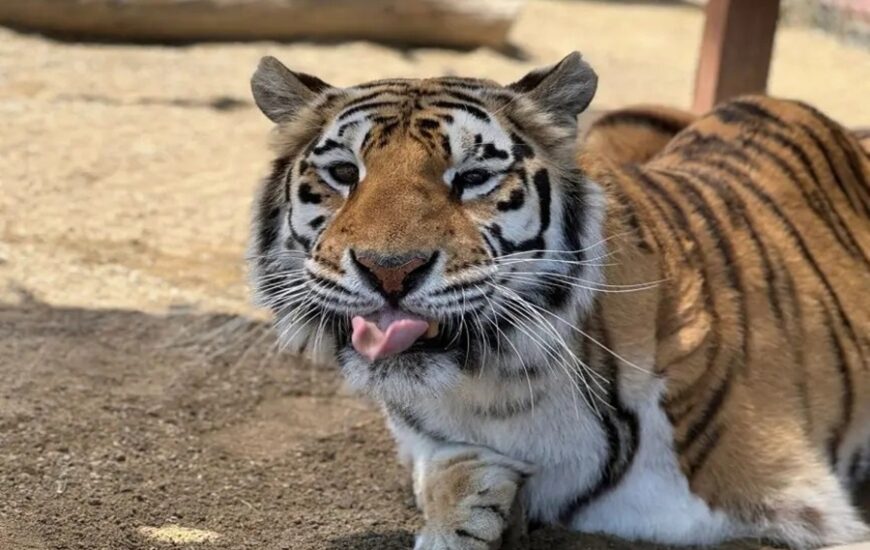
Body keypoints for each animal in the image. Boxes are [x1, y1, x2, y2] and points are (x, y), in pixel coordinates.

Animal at [246, 52, 870, 549]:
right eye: (343, 172)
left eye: (473, 177)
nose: (389, 270)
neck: (499, 389)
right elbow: (443, 469)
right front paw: (469, 506)